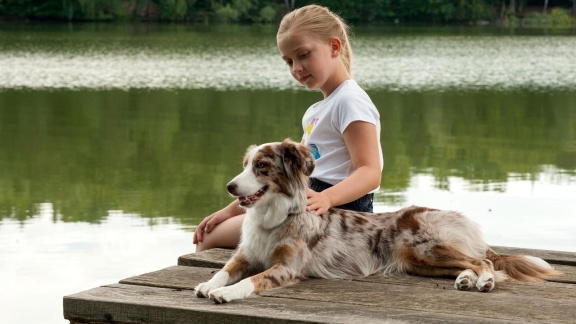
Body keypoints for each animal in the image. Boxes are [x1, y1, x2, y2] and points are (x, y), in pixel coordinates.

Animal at [195, 139, 560, 304]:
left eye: (261, 167)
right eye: (245, 165)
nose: (229, 186)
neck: (273, 216)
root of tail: (458, 218)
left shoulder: (288, 266)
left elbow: (252, 280)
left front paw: (226, 293)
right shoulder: (245, 255)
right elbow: (224, 270)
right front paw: (208, 284)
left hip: (426, 249)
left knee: (484, 261)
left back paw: (482, 281)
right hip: (420, 261)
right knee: (470, 262)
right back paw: (466, 280)